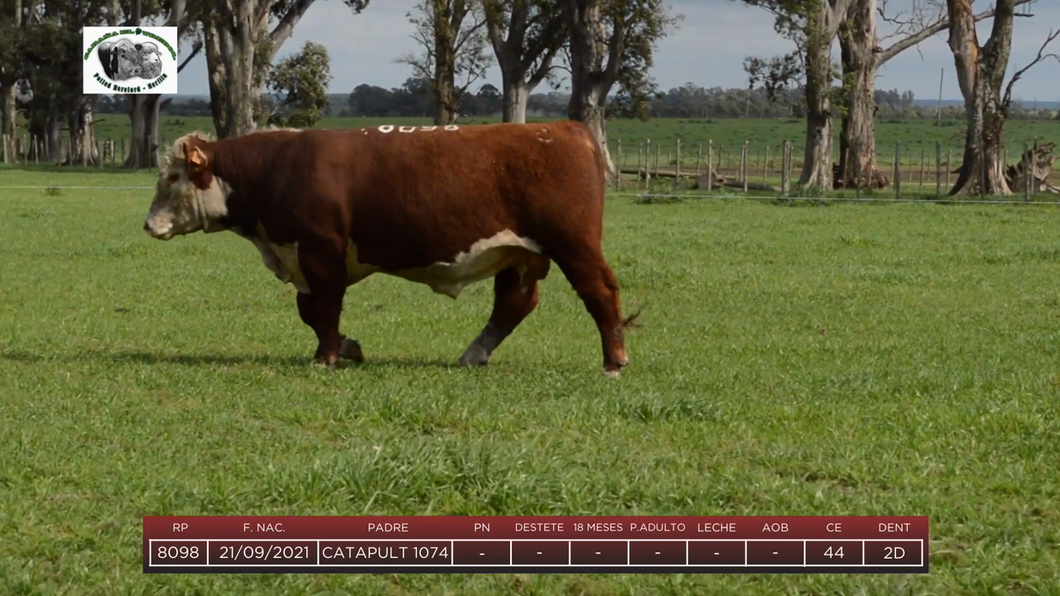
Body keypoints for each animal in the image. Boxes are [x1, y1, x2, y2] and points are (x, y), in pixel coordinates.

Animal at [142, 118, 635, 373]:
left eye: (173, 177)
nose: (148, 225)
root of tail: (566, 128)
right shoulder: (303, 257)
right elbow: (309, 311)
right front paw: (346, 348)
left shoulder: (320, 250)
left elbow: (324, 307)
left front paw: (329, 356)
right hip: (520, 253)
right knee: (515, 303)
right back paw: (473, 355)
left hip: (574, 243)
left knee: (600, 292)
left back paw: (614, 360)